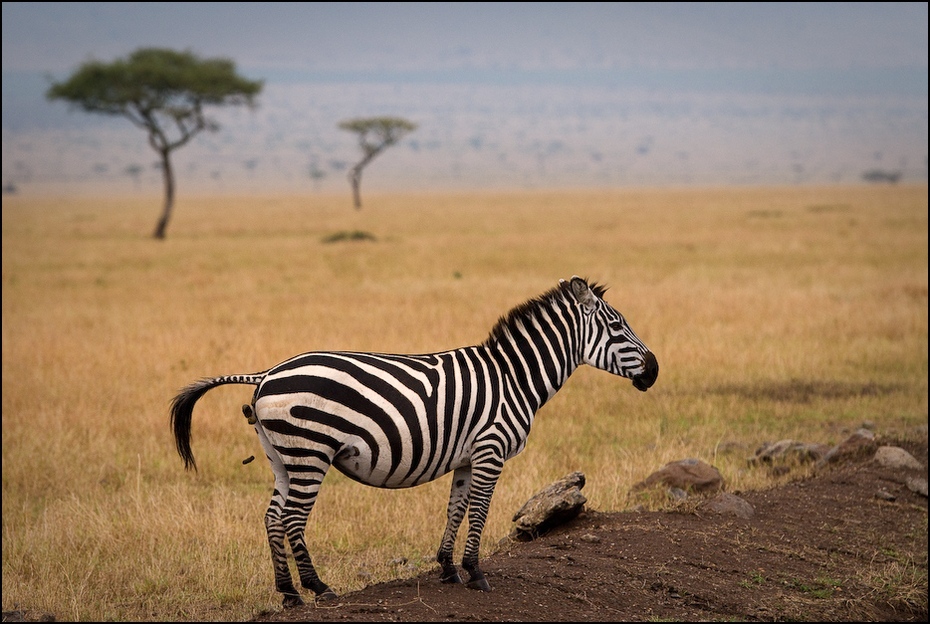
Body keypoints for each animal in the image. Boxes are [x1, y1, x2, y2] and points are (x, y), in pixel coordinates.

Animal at [170, 276, 656, 608]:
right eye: (617, 327)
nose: (653, 371)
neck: (513, 377)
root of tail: (266, 373)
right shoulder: (491, 449)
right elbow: (479, 510)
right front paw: (475, 572)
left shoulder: (466, 456)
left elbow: (456, 508)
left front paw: (447, 568)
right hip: (310, 452)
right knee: (290, 518)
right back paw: (318, 588)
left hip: (280, 456)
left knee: (272, 517)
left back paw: (288, 594)